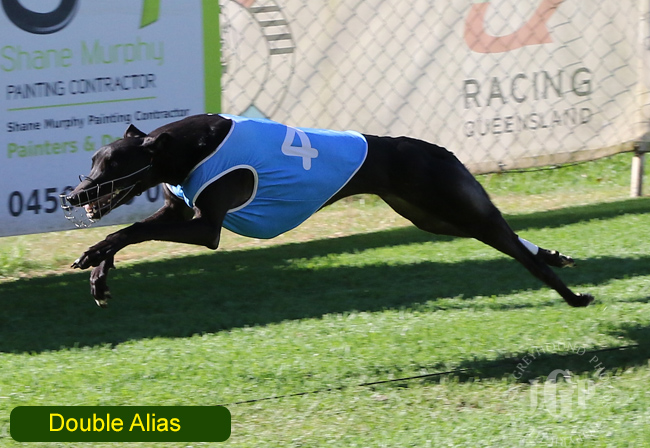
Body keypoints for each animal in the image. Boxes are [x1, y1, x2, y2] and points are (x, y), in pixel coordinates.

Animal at [61, 114, 594, 308]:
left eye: (109, 165)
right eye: (91, 163)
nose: (71, 196)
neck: (184, 147)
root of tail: (436, 149)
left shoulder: (205, 227)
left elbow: (130, 230)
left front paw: (95, 259)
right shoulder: (179, 213)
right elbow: (128, 234)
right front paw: (99, 273)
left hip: (452, 205)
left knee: (507, 240)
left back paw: (570, 293)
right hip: (431, 216)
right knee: (508, 235)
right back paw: (552, 254)